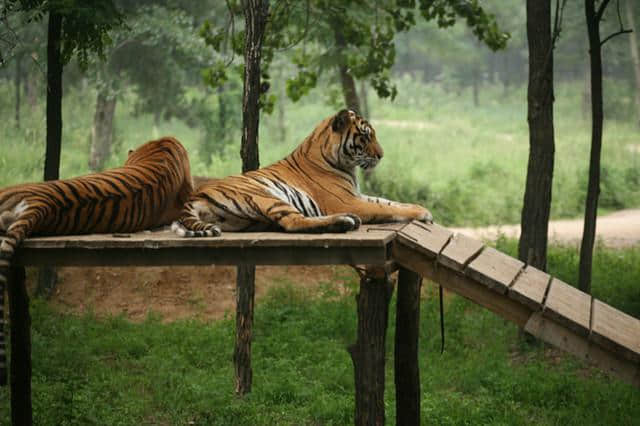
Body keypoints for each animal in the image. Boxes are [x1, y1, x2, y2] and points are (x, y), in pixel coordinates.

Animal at [172, 108, 432, 238]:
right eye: (366, 136)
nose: (381, 155)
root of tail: (194, 196)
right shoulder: (347, 200)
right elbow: (388, 208)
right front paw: (423, 213)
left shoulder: (356, 196)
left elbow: (388, 202)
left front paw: (419, 208)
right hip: (266, 196)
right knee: (293, 222)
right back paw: (345, 221)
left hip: (247, 221)